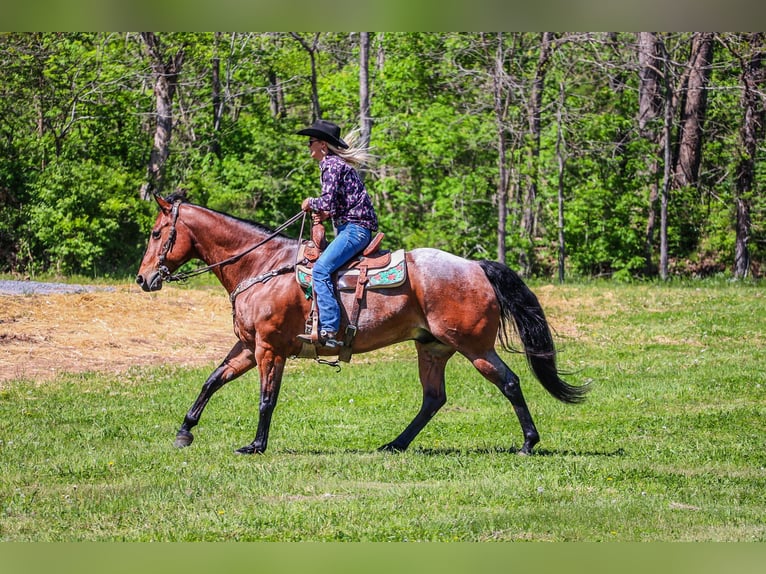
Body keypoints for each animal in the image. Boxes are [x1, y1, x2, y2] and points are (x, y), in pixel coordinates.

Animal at [136, 196, 588, 456]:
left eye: (157, 233)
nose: (143, 279)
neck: (261, 266)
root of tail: (476, 267)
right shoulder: (248, 346)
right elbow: (212, 381)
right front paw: (185, 432)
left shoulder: (270, 349)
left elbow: (267, 399)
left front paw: (256, 445)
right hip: (433, 348)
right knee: (433, 399)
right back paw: (395, 444)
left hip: (475, 347)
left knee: (509, 382)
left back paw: (528, 443)